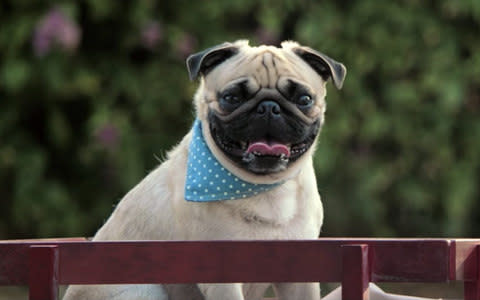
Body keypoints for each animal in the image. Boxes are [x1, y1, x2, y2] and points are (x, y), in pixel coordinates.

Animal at [63, 39, 346, 300]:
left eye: (304, 99)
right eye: (231, 98)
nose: (268, 107)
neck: (263, 189)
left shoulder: (299, 276)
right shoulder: (222, 280)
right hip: (144, 290)